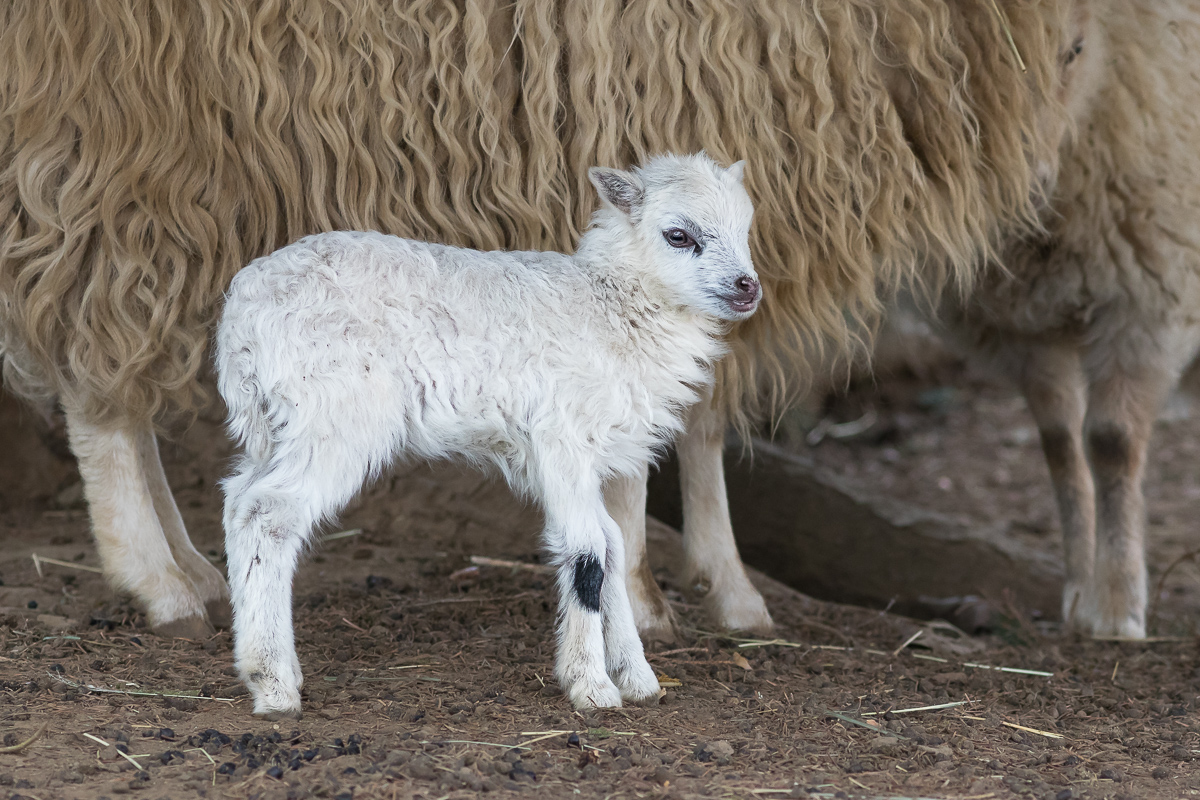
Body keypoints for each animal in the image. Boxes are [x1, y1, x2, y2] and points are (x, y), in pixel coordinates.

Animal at [0, 0, 1070, 638]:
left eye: (741, 229)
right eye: (681, 232)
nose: (745, 288)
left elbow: (686, 412)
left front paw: (702, 586)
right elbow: (663, 433)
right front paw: (661, 592)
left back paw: (202, 564)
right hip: (125, 128)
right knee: (97, 358)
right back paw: (157, 576)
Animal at [216, 153, 758, 714]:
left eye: (745, 229)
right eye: (678, 235)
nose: (748, 286)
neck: (609, 307)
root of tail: (242, 317)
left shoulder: (581, 455)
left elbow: (612, 544)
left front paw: (637, 676)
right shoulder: (562, 438)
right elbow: (587, 549)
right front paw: (591, 686)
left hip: (274, 424)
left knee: (238, 500)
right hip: (335, 413)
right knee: (269, 514)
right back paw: (273, 683)